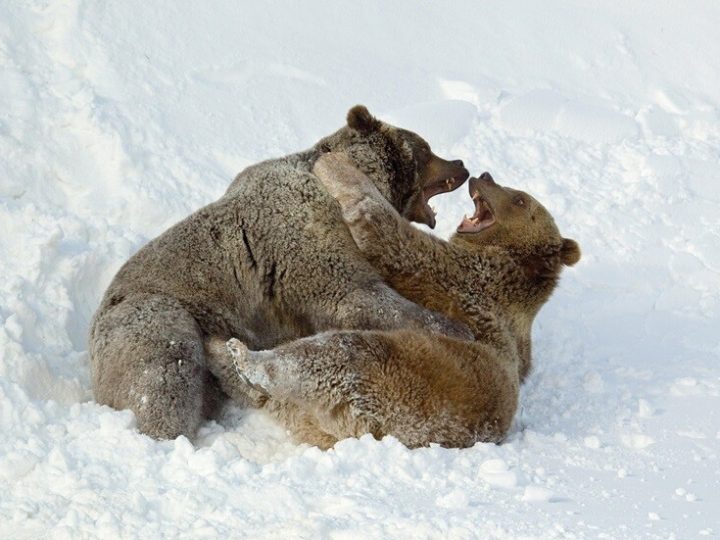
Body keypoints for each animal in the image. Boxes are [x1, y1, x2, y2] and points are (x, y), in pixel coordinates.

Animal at [90, 106, 470, 442]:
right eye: (425, 148)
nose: (462, 165)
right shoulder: (307, 243)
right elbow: (360, 297)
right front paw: (455, 328)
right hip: (155, 314)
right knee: (166, 373)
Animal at [205, 154, 584, 450]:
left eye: (520, 200)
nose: (486, 175)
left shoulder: (460, 277)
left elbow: (385, 231)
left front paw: (333, 163)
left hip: (405, 381)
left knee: (333, 355)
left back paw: (247, 358)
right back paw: (219, 351)